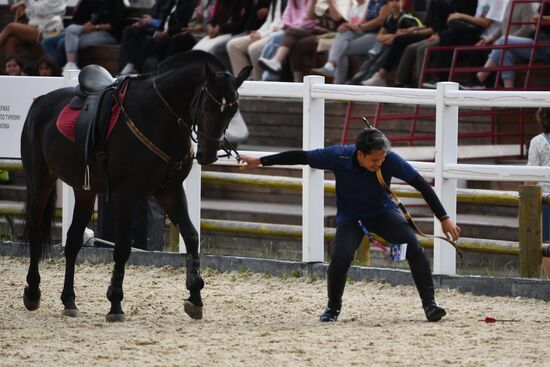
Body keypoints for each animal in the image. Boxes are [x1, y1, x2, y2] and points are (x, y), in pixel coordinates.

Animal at [21, 50, 252, 320]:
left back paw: (69, 301)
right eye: (207, 105)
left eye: (232, 110)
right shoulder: (125, 196)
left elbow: (191, 236)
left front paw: (195, 296)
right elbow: (122, 247)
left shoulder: (170, 192)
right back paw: (33, 292)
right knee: (36, 230)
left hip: (84, 190)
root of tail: (40, 102)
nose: (208, 154)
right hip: (39, 181)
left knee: (73, 240)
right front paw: (115, 303)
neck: (156, 116)